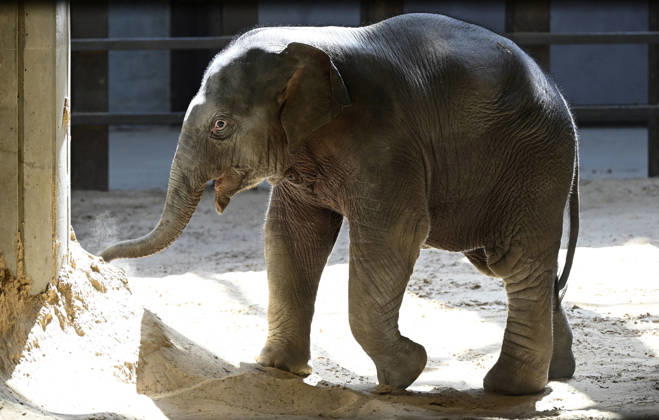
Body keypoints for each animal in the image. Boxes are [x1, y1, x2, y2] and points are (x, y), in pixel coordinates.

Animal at [101, 13, 579, 395]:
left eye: (220, 126)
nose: (103, 257)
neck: (310, 45)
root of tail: (561, 96)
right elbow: (291, 235)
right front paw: (277, 368)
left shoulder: (386, 142)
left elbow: (396, 234)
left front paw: (405, 372)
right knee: (507, 264)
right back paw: (557, 373)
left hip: (534, 162)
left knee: (515, 262)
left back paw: (510, 389)